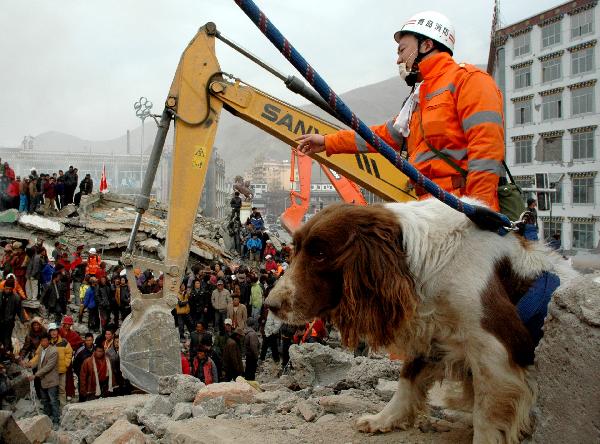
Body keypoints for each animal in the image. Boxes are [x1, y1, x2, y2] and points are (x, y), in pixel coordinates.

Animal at [266, 199, 572, 444]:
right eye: (295, 248)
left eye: (320, 254)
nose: (271, 305)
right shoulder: (434, 332)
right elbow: (407, 380)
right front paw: (383, 419)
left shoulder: (495, 353)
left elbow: (486, 415)